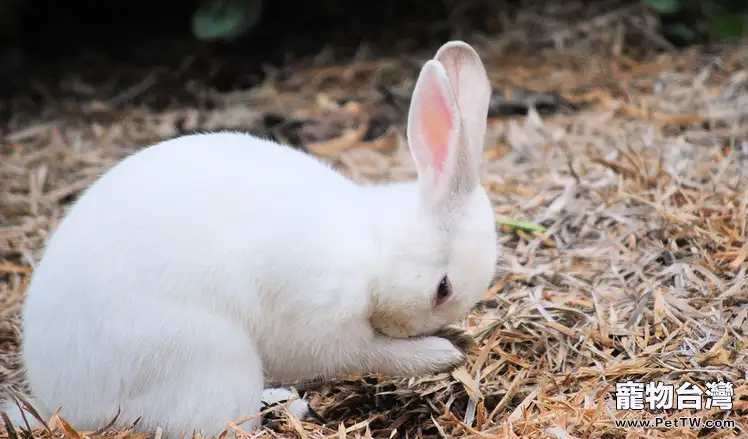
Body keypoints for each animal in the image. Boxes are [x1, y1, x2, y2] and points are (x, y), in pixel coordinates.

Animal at [2, 40, 500, 436]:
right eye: (442, 289)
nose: (414, 328)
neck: (372, 250)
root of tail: (63, 403)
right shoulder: (325, 325)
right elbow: (375, 353)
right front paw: (440, 353)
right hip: (211, 361)